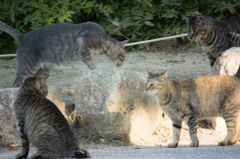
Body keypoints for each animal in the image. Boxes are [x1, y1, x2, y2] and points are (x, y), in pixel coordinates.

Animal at [0, 20, 129, 87]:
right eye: (123, 57)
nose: (122, 64)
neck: (105, 41)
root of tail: (23, 36)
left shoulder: (83, 52)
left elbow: (87, 60)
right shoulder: (83, 43)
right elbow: (90, 61)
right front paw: (96, 68)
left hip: (43, 71)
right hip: (27, 67)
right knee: (16, 84)